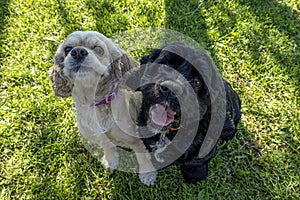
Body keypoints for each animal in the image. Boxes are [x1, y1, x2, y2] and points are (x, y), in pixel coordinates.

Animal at [137, 43, 241, 184]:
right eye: (164, 65)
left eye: (197, 82)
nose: (170, 89)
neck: (169, 132)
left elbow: (196, 161)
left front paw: (195, 174)